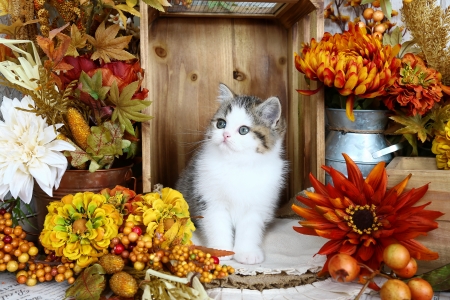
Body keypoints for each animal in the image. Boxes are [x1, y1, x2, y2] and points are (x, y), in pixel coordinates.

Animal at [176, 83, 288, 264]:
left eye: (243, 130)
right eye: (221, 124)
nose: (225, 135)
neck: (237, 164)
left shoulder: (257, 204)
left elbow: (250, 228)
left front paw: (247, 252)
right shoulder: (210, 199)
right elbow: (217, 225)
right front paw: (221, 250)